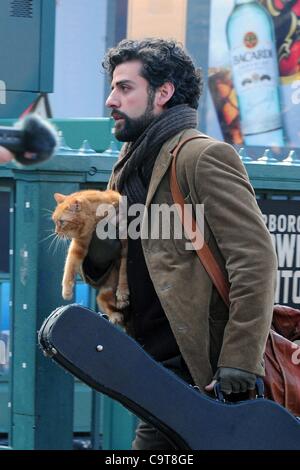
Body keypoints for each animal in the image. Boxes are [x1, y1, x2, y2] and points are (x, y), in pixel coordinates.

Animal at [52, 189, 128, 324]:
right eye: (54, 221)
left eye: (61, 222)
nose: (56, 232)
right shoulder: (78, 246)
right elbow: (69, 266)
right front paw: (66, 290)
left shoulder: (125, 246)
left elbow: (124, 271)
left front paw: (123, 291)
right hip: (108, 288)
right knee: (102, 300)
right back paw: (115, 315)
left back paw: (120, 302)